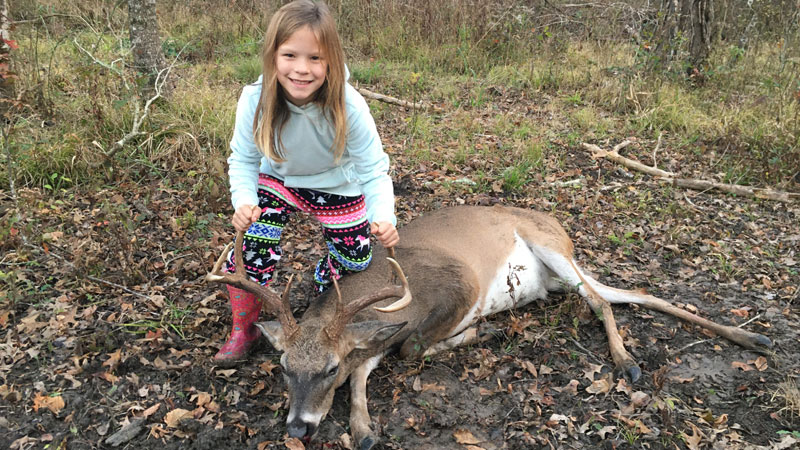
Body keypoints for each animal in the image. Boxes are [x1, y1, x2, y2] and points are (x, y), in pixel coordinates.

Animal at [206, 205, 771, 450]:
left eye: (326, 369)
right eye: (283, 366)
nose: (297, 427)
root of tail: (561, 228)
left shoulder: (454, 293)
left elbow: (408, 348)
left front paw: (485, 333)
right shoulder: (381, 337)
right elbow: (369, 364)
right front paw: (363, 428)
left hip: (552, 249)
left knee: (600, 302)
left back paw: (627, 363)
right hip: (560, 275)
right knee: (630, 294)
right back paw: (753, 336)